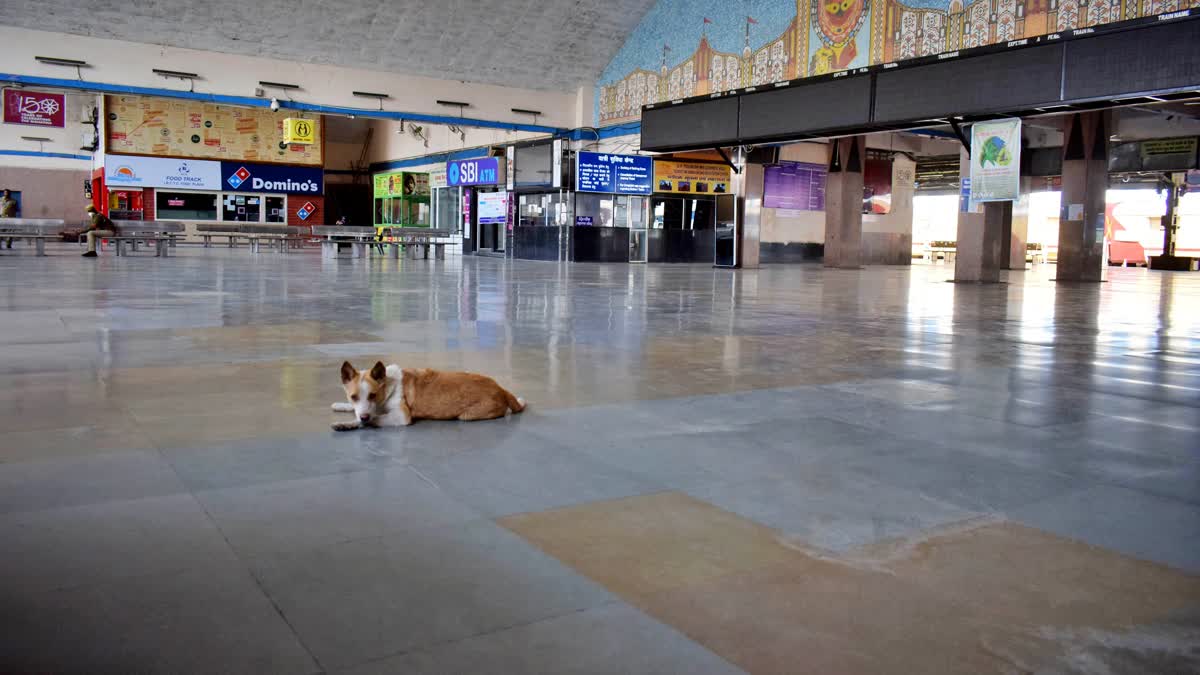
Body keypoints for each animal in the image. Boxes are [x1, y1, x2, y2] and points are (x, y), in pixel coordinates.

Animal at [331, 360, 523, 427]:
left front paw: (347, 424)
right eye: (353, 397)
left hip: (466, 415)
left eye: (373, 395)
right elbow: (358, 411)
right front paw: (341, 406)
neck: (388, 386)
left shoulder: (401, 416)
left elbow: (373, 419)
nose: (364, 416)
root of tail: (502, 389)